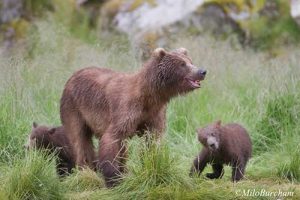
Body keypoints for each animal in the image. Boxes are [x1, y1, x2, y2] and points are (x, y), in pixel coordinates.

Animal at [60, 47, 207, 187]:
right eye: (182, 64)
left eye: (191, 61)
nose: (202, 71)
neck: (150, 97)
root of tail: (73, 75)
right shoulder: (126, 111)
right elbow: (112, 139)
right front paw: (113, 179)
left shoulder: (154, 115)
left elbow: (152, 142)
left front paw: (153, 165)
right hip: (74, 108)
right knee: (80, 139)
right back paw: (85, 172)